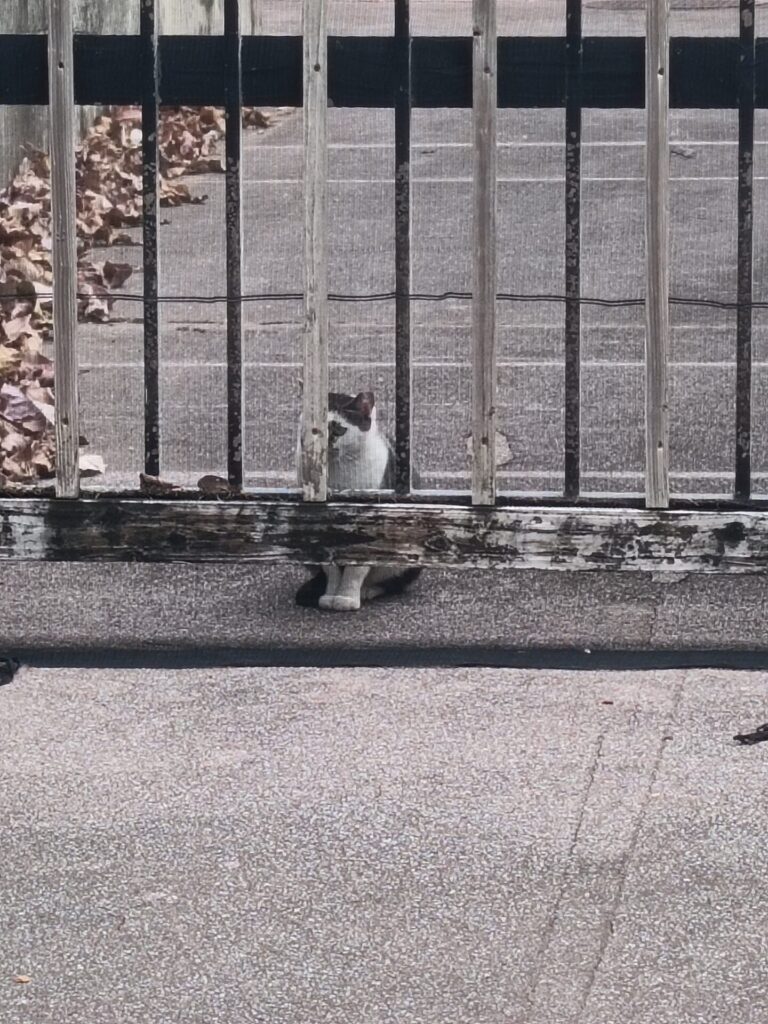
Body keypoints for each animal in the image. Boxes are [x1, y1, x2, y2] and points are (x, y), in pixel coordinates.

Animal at [296, 391, 423, 610]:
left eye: (338, 429)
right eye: (313, 428)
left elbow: (356, 568)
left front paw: (346, 599)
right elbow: (330, 568)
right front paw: (330, 596)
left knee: (393, 583)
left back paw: (367, 591)